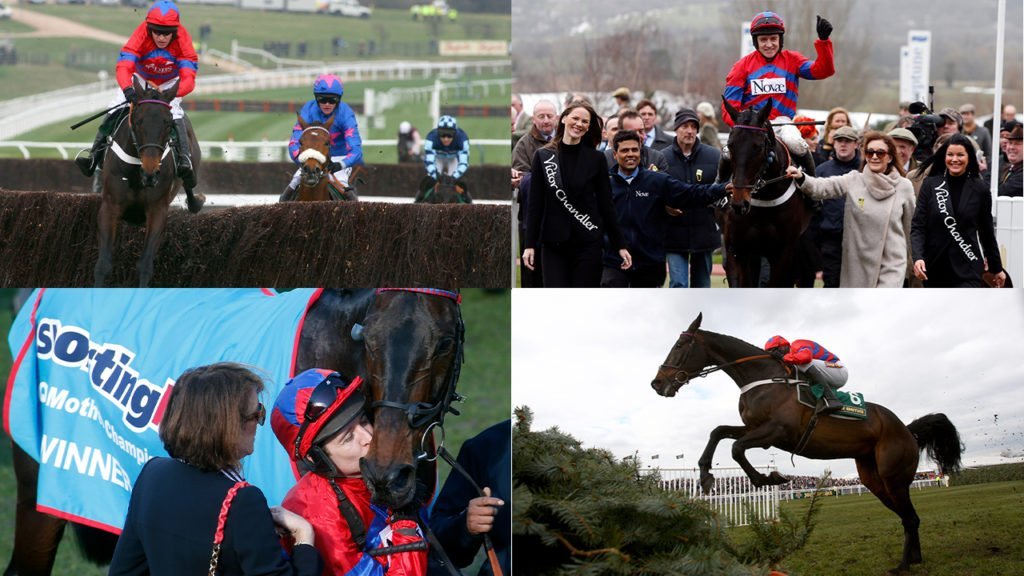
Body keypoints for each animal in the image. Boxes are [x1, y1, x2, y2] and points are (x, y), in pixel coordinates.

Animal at [96, 73, 205, 286]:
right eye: (138, 121)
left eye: (168, 124)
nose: (151, 172)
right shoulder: (110, 206)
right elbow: (103, 264)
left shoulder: (157, 209)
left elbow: (145, 264)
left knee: (189, 182)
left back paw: (195, 200)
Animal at [651, 311, 962, 569]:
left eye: (679, 345)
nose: (657, 383)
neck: (765, 378)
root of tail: (906, 429)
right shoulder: (754, 427)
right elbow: (717, 432)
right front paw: (705, 475)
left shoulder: (777, 431)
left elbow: (737, 448)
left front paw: (768, 478)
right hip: (873, 478)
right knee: (908, 518)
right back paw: (914, 560)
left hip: (893, 476)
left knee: (910, 518)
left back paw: (905, 564)